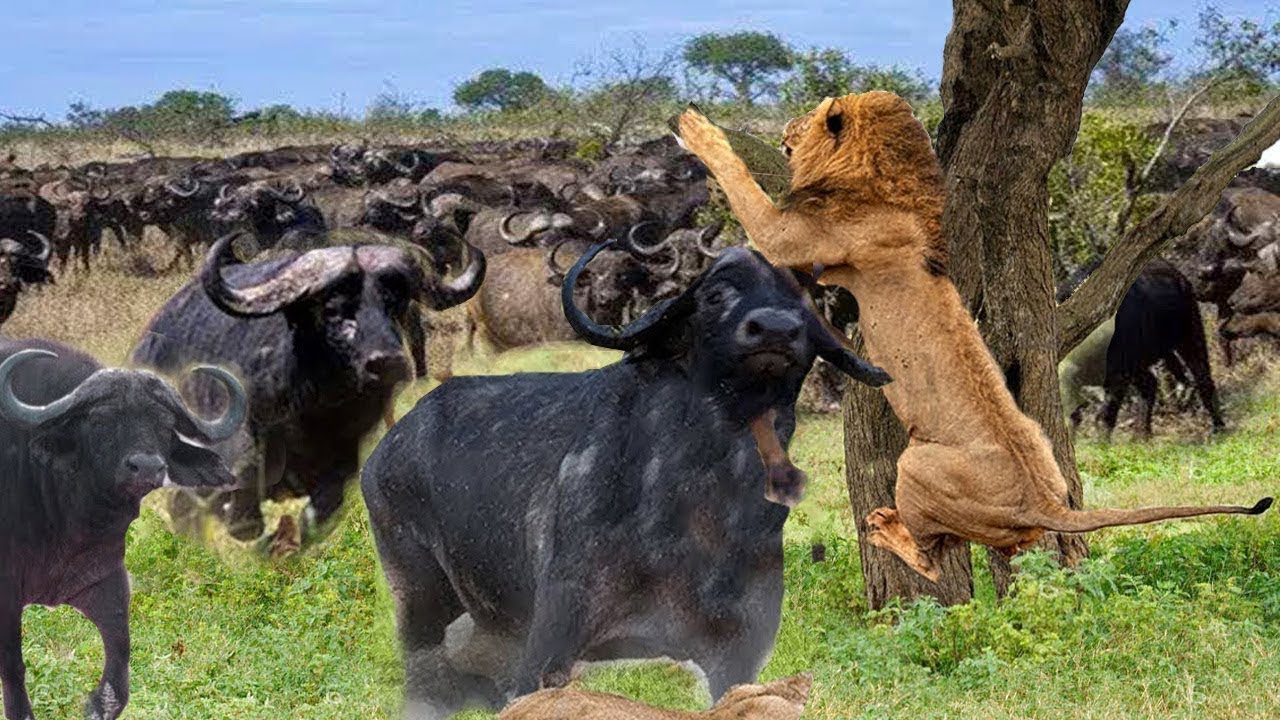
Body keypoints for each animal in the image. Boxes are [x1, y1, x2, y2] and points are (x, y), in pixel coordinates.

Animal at [0, 335, 244, 717]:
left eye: (164, 424)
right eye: (100, 421)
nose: (147, 467)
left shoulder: (107, 581)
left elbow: (120, 660)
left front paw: (95, 704)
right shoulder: (6, 592)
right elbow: (13, 667)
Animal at [360, 239, 890, 712]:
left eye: (803, 301)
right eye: (715, 294)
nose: (776, 330)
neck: (701, 497)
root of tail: (388, 447)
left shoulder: (738, 653)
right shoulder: (553, 637)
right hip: (418, 599)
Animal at [675, 92, 1274, 579]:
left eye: (813, 116)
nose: (787, 125)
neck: (889, 183)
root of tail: (1044, 501)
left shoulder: (791, 240)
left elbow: (742, 186)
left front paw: (698, 129)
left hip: (916, 463)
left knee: (930, 560)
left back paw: (882, 525)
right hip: (1036, 455)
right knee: (1009, 547)